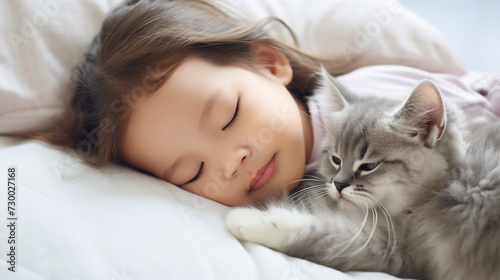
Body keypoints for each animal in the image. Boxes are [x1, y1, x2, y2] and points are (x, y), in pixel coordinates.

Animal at [226, 68, 500, 280]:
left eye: (368, 166)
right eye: (336, 160)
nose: (338, 185)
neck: (443, 184)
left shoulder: (390, 247)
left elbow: (311, 229)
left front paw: (245, 218)